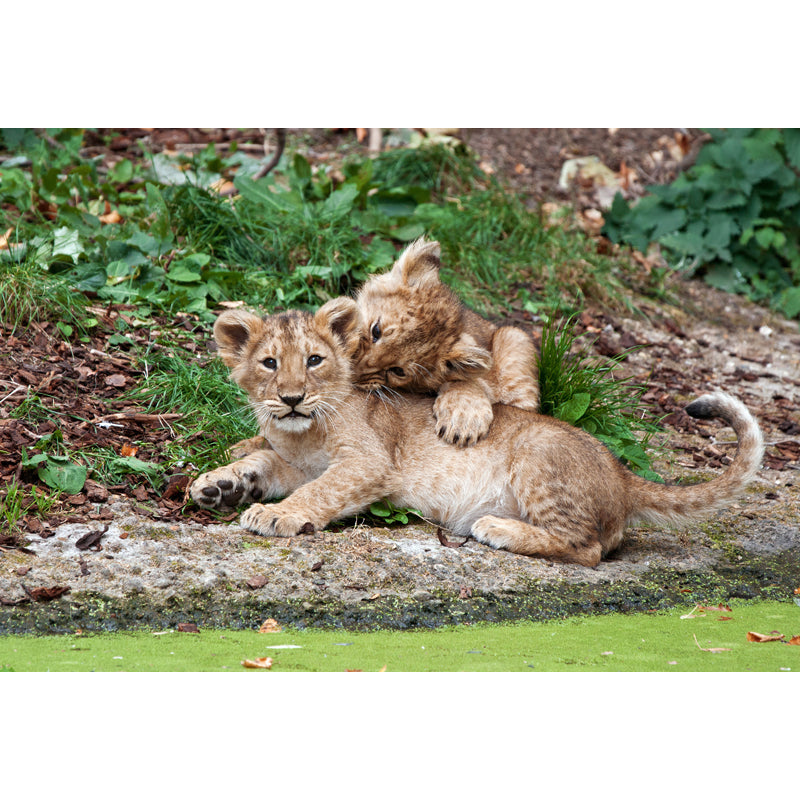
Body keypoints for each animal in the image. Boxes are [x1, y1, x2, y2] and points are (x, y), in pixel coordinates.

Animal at [189, 301, 764, 567]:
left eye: (314, 360)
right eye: (269, 363)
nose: (291, 398)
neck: (303, 433)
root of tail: (624, 478)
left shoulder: (370, 462)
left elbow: (322, 490)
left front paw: (276, 516)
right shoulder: (292, 460)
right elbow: (263, 461)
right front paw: (220, 484)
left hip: (538, 453)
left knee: (587, 548)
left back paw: (497, 530)